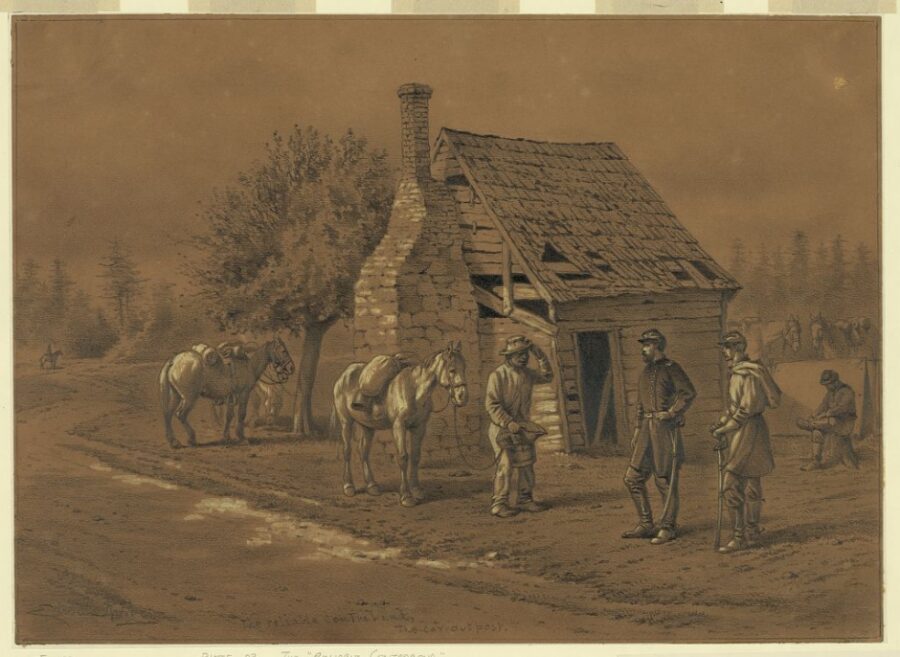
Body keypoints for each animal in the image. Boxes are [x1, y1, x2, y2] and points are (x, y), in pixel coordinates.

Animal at [157, 338, 292, 446]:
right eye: (283, 351)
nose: (292, 368)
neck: (248, 366)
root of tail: (174, 360)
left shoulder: (230, 397)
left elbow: (229, 416)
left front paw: (227, 437)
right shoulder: (244, 394)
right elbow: (241, 414)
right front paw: (242, 438)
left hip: (175, 395)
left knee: (168, 413)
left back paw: (173, 441)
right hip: (189, 398)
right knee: (180, 414)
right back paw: (191, 439)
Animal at [332, 344, 472, 508]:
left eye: (465, 367)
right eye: (452, 370)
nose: (462, 397)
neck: (414, 390)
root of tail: (344, 375)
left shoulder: (419, 427)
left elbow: (416, 457)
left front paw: (417, 490)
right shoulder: (399, 427)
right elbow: (403, 457)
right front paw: (406, 496)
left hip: (368, 426)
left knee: (364, 452)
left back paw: (372, 486)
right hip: (346, 422)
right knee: (347, 451)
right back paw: (349, 487)